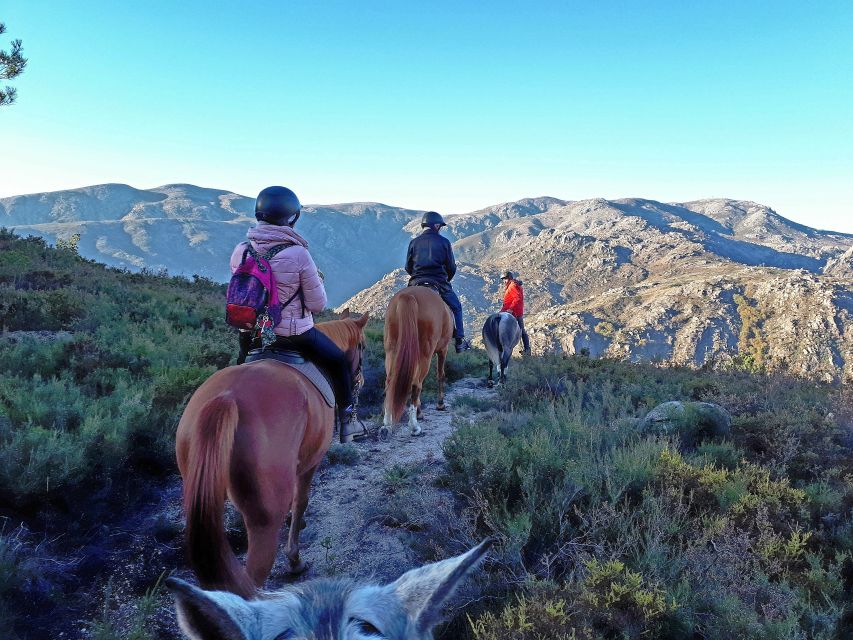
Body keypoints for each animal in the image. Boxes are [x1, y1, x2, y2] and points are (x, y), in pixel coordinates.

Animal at [175, 312, 368, 596]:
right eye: (362, 346)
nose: (360, 382)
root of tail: (227, 398)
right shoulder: (310, 463)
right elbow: (300, 502)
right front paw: (294, 559)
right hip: (262, 523)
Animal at [382, 288, 456, 442]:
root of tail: (408, 296)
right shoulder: (443, 349)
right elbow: (440, 375)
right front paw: (440, 404)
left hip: (391, 349)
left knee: (390, 382)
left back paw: (386, 425)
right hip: (425, 351)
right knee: (416, 384)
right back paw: (414, 427)